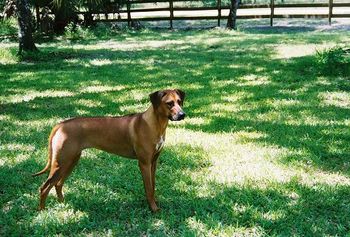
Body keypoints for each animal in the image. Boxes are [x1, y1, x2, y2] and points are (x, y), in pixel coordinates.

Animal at [32, 89, 186, 211]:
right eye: (169, 103)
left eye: (179, 101)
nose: (182, 115)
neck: (156, 124)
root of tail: (60, 125)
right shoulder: (144, 163)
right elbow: (148, 188)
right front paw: (153, 209)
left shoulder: (153, 162)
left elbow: (153, 186)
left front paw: (155, 202)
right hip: (61, 162)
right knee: (45, 187)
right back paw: (42, 211)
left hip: (71, 161)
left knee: (58, 184)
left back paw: (62, 203)